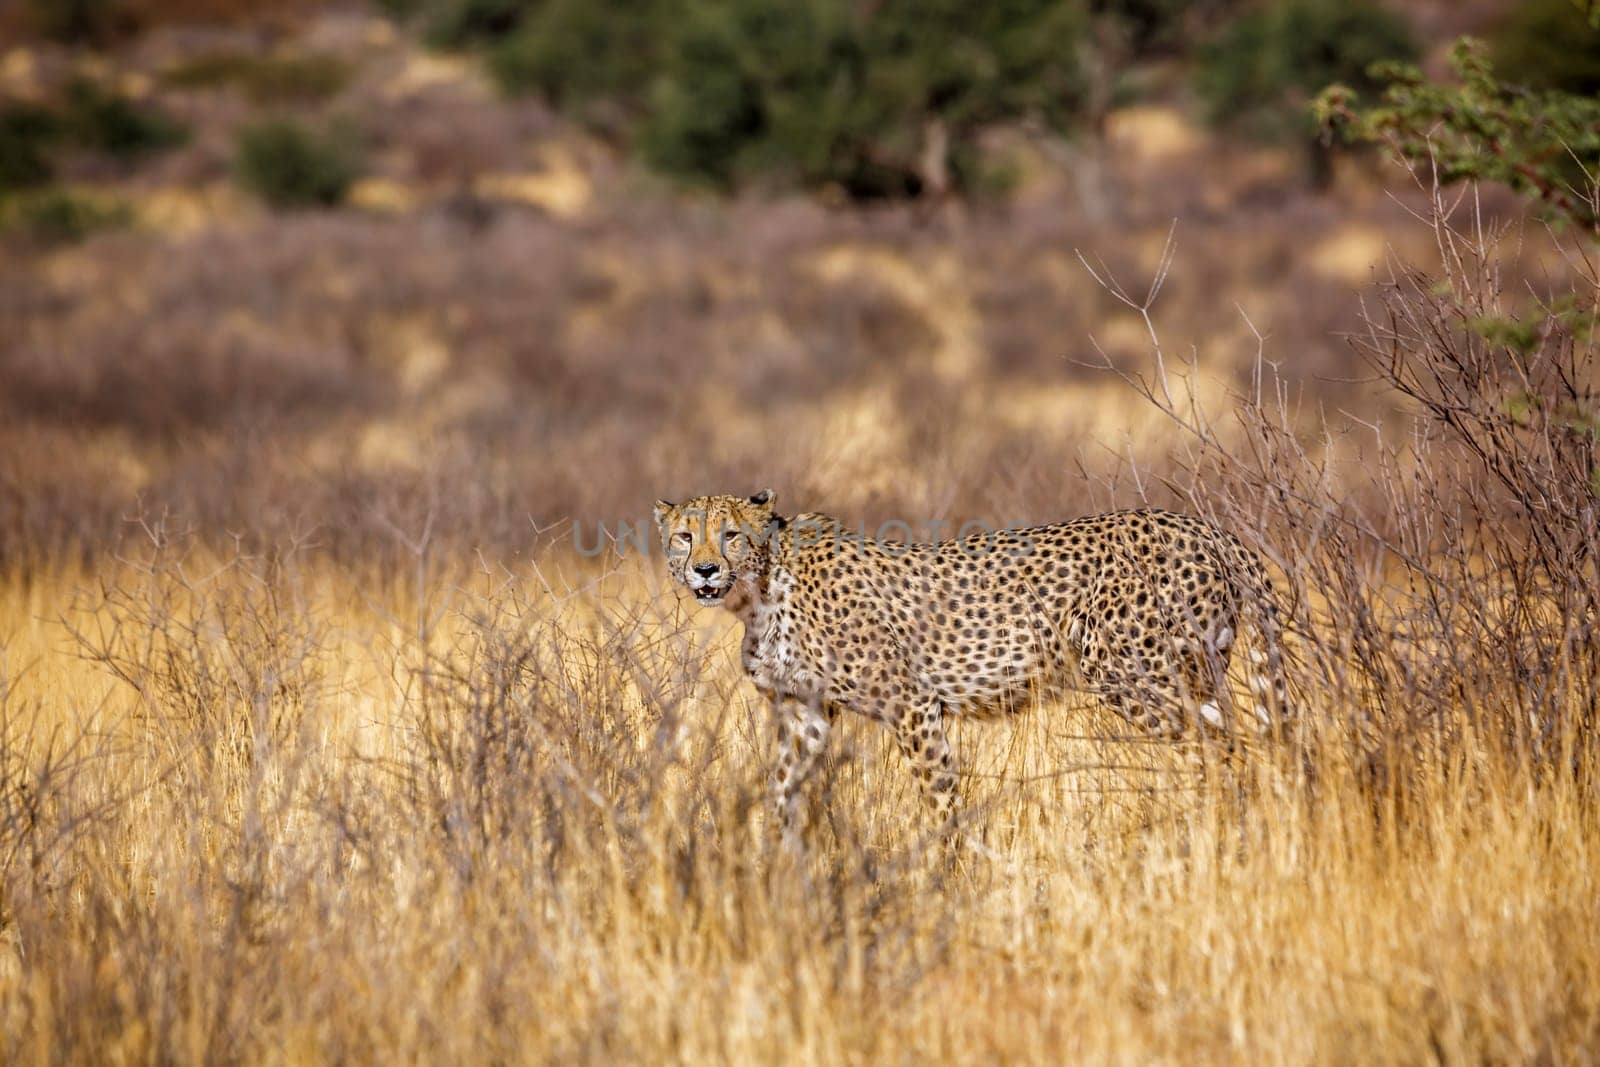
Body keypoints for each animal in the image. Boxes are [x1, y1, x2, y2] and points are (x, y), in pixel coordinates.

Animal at [649, 492, 1286, 844]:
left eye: (731, 535)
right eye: (684, 537)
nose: (705, 569)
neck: (758, 590)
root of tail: (1208, 527)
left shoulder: (911, 704)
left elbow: (940, 800)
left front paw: (949, 872)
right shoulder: (806, 713)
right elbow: (782, 793)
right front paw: (775, 867)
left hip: (1134, 673)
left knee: (1224, 750)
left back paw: (1215, 833)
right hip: (1198, 674)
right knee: (1231, 746)